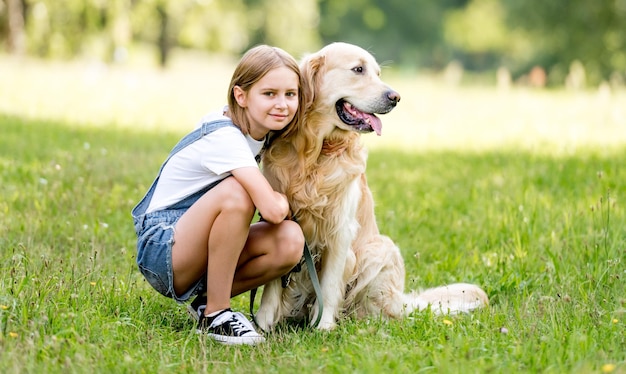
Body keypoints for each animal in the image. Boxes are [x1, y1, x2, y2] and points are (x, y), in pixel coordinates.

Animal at [255, 43, 488, 330]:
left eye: (378, 73)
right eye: (358, 69)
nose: (395, 97)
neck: (316, 153)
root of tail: (401, 300)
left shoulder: (341, 229)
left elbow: (330, 285)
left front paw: (324, 327)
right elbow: (272, 285)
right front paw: (262, 324)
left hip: (379, 250)